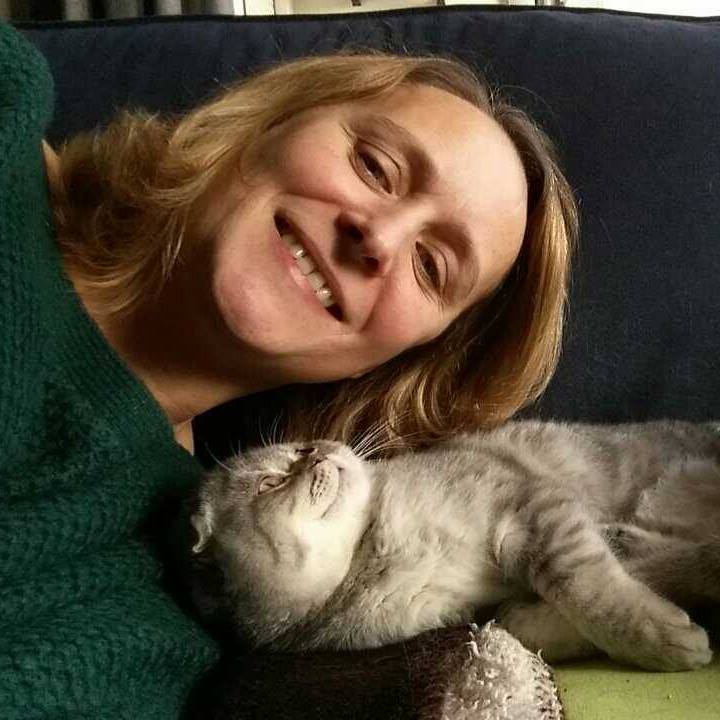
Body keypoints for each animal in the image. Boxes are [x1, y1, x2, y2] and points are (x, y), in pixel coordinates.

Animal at [182, 419, 720, 671]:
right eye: (270, 482)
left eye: (300, 446)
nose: (320, 450)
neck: (374, 549)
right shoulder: (466, 608)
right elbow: (515, 620)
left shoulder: (531, 507)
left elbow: (586, 588)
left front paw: (654, 636)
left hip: (665, 495)